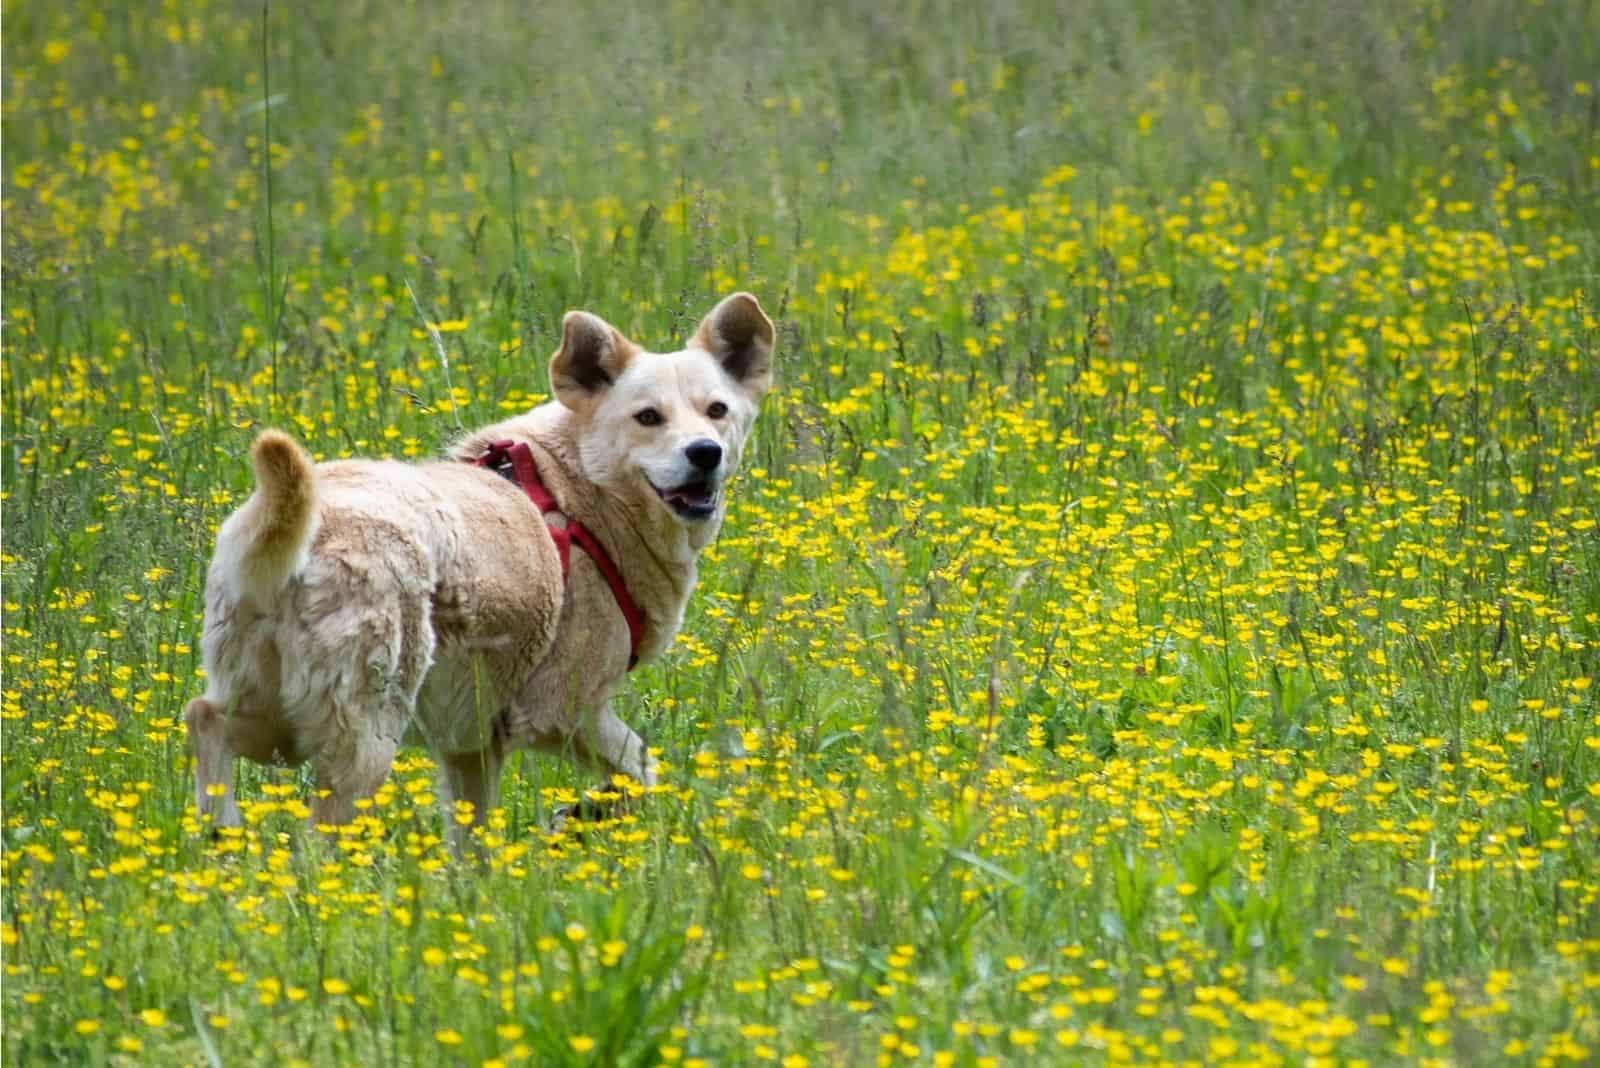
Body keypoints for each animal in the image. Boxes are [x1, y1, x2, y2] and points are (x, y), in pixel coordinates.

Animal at [184, 289, 777, 844]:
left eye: (717, 411)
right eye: (648, 418)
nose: (705, 453)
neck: (578, 496)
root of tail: (303, 536)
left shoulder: (471, 744)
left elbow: (477, 844)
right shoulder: (566, 710)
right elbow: (644, 772)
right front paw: (581, 817)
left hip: (277, 716)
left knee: (203, 716)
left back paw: (221, 834)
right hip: (363, 734)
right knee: (316, 843)